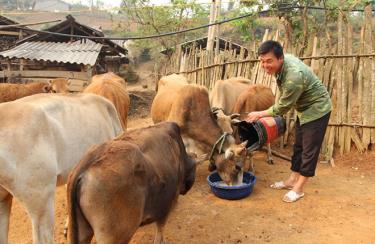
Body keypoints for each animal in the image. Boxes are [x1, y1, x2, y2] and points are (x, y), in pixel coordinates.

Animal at [68, 122, 197, 244]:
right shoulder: (165, 207)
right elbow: (160, 233)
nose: (186, 188)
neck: (178, 151)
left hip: (83, 234)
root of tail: (86, 165)